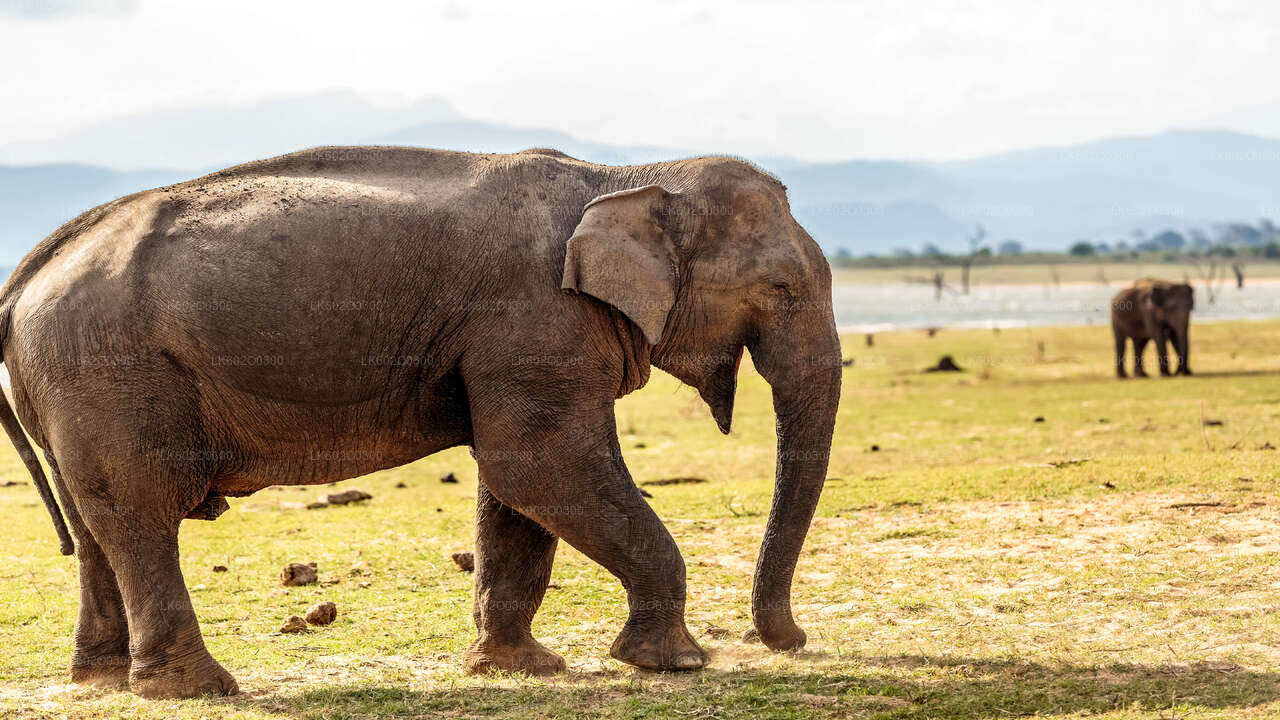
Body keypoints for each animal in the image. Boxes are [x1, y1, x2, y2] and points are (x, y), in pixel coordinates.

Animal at [0, 144, 844, 696]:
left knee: (97, 522)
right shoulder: (536, 315)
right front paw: (673, 662)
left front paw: (517, 669)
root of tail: (29, 272)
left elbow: (518, 484)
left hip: (71, 382)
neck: (625, 176)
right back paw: (197, 690)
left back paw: (102, 681)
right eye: (779, 285)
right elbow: (539, 463)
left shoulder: (515, 341)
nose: (790, 641)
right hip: (107, 368)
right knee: (141, 513)